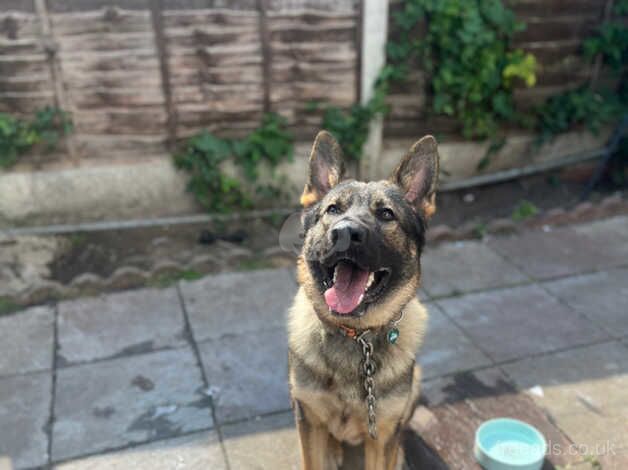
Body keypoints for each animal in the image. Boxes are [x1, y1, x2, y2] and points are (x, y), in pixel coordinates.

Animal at [288, 129, 440, 470]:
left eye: (386, 214)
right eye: (333, 210)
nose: (345, 233)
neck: (356, 337)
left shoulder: (382, 433)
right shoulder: (308, 418)